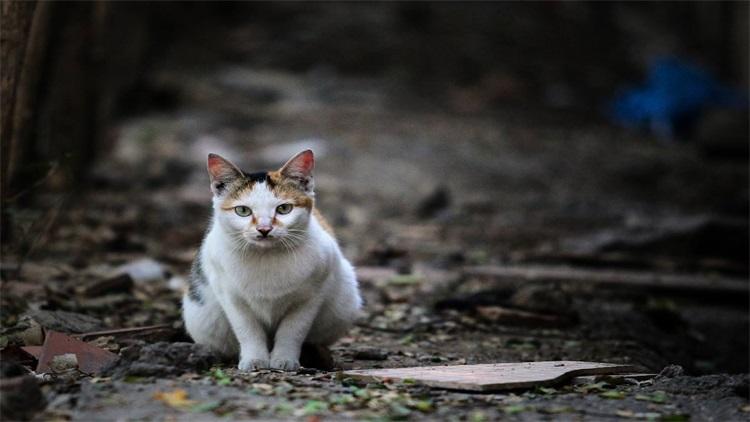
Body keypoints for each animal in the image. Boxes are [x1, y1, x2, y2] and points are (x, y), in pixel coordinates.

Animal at [187, 150, 366, 370]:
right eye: (243, 211)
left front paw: (284, 359)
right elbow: (248, 330)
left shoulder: (311, 297)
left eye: (284, 209)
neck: (266, 257)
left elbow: (293, 330)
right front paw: (254, 360)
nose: (264, 229)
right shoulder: (231, 297)